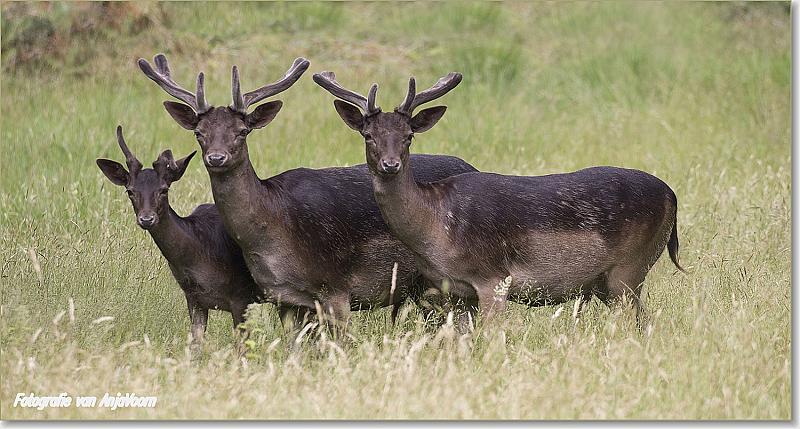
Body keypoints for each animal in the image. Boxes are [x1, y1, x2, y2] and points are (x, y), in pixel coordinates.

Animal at [137, 54, 478, 336]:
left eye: (242, 131)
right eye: (199, 133)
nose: (216, 158)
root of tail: (471, 165)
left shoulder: (336, 286)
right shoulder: (286, 298)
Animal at [313, 70, 685, 329]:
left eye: (408, 136)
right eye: (367, 135)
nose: (390, 164)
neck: (436, 228)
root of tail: (672, 196)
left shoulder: (494, 279)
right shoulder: (455, 291)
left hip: (629, 268)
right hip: (611, 282)